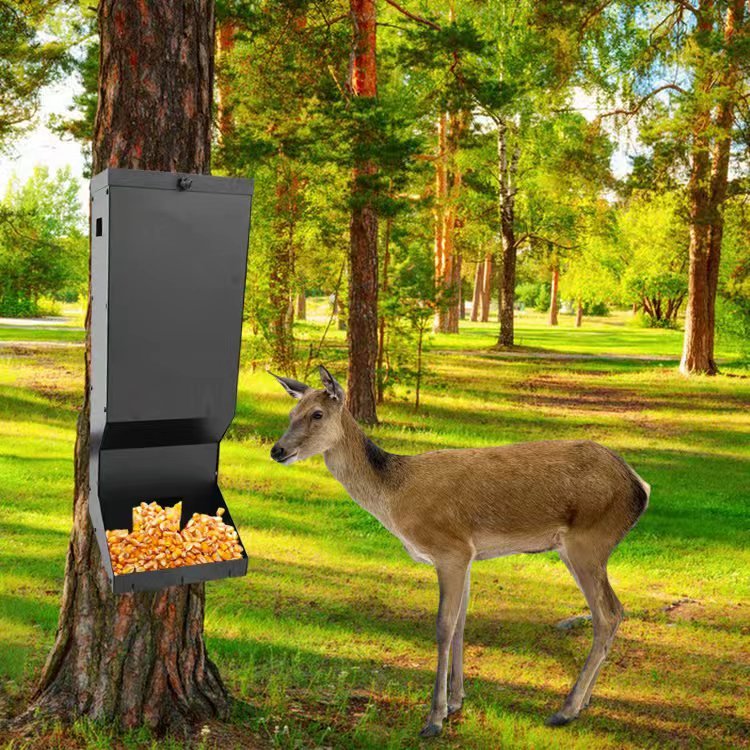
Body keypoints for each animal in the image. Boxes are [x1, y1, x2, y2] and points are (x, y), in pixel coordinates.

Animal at [269, 366, 650, 738]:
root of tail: (641, 487)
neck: (395, 498)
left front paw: (434, 719)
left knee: (607, 614)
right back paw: (583, 703)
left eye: (317, 414)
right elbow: (462, 624)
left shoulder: (449, 549)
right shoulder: (468, 555)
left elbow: (443, 626)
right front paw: (456, 701)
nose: (277, 450)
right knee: (615, 611)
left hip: (588, 541)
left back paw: (566, 709)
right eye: (291, 413)